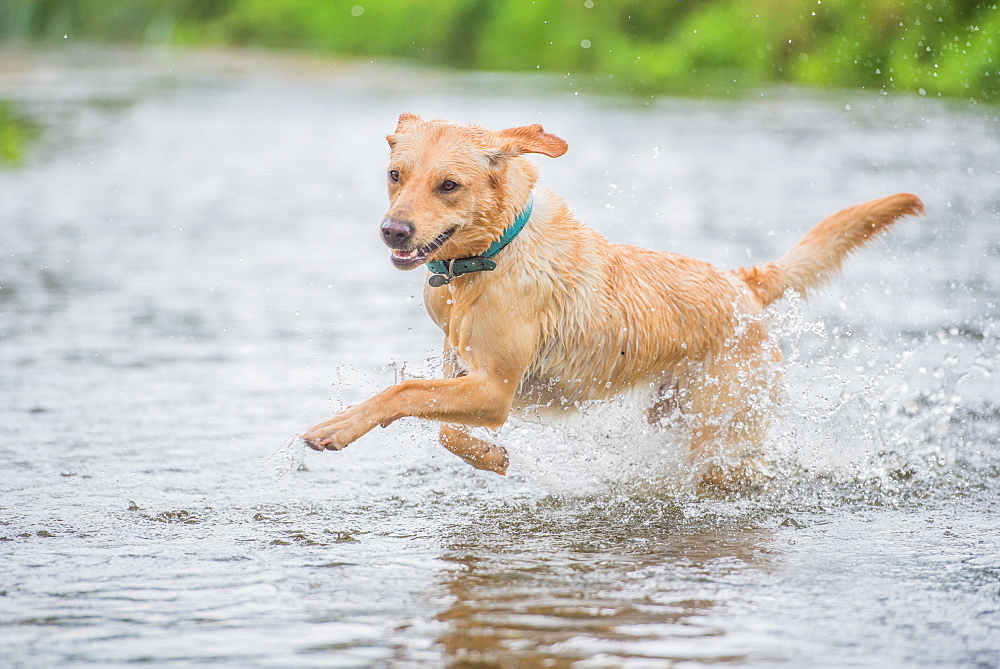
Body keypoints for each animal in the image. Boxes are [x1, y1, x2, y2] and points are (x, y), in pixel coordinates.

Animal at [302, 112, 920, 482]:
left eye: (448, 186)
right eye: (394, 175)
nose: (393, 231)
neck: (489, 257)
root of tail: (742, 284)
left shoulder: (495, 390)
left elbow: (401, 391)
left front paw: (335, 427)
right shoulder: (468, 372)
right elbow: (442, 425)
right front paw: (491, 457)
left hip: (720, 428)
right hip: (669, 412)